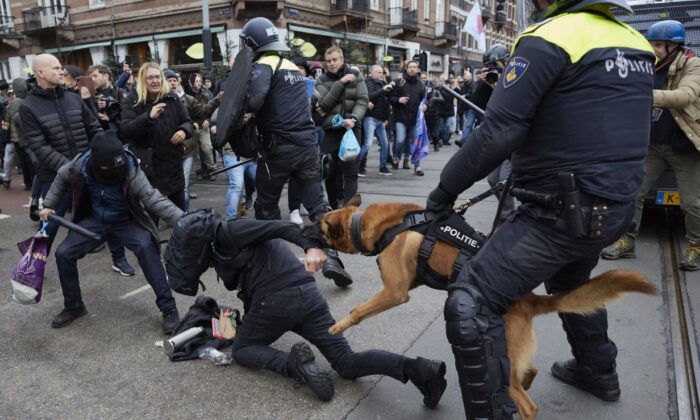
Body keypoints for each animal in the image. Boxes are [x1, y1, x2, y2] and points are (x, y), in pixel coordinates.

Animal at [318, 198, 656, 420]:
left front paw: (336, 327)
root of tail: (530, 300)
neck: (370, 222)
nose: (306, 227)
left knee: (528, 404)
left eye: (319, 227)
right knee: (527, 372)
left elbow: (358, 310)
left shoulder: (394, 292)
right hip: (515, 354)